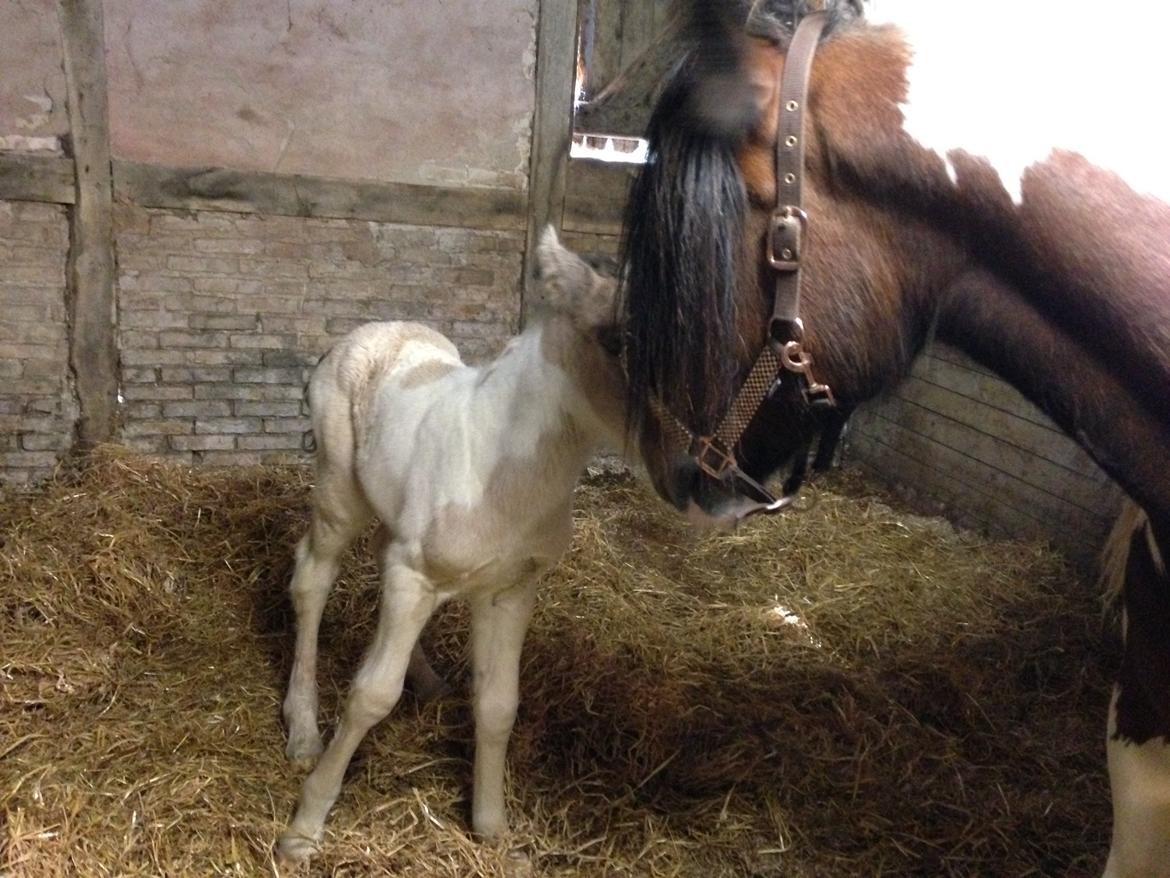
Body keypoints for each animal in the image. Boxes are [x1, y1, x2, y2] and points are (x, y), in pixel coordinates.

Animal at [274, 228, 627, 866]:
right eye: (614, 337)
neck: (504, 474)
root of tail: (367, 331)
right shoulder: (415, 575)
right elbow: (371, 694)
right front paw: (305, 827)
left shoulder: (511, 589)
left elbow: (498, 704)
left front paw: (493, 830)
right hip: (339, 492)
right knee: (312, 576)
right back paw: (304, 730)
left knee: (377, 556)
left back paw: (429, 681)